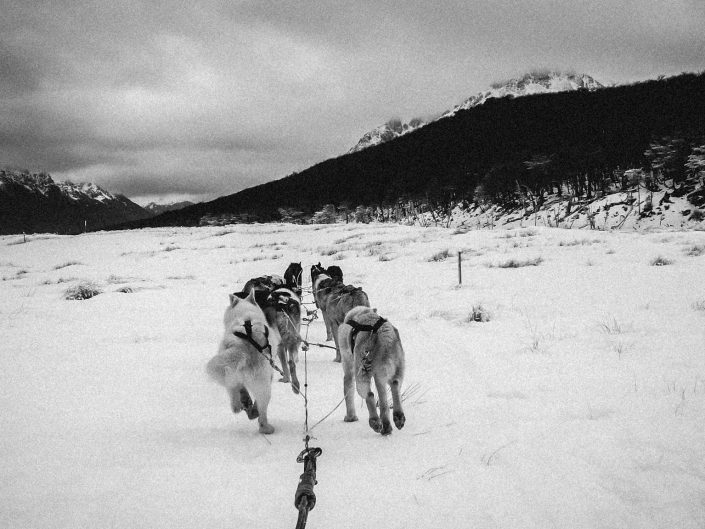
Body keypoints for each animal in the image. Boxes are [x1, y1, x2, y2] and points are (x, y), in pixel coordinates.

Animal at [336, 306, 404, 434]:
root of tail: (383, 335)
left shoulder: (348, 368)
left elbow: (348, 391)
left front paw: (350, 417)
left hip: (362, 373)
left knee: (370, 395)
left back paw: (375, 422)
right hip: (397, 368)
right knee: (394, 387)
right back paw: (395, 419)